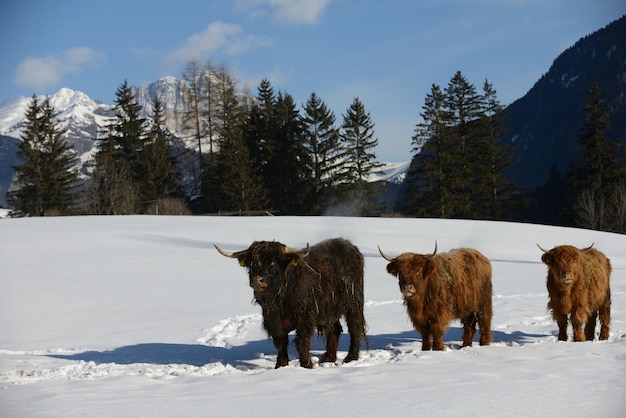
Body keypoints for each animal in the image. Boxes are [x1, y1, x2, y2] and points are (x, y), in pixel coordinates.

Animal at [214, 238, 366, 370]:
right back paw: (328, 359)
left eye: (274, 262)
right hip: (329, 310)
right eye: (253, 262)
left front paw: (306, 365)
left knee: (355, 327)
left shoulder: (305, 319)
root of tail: (350, 246)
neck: (280, 299)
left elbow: (302, 342)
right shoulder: (273, 321)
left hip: (354, 303)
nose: (257, 280)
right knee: (335, 330)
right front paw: (280, 366)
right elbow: (280, 343)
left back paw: (350, 358)